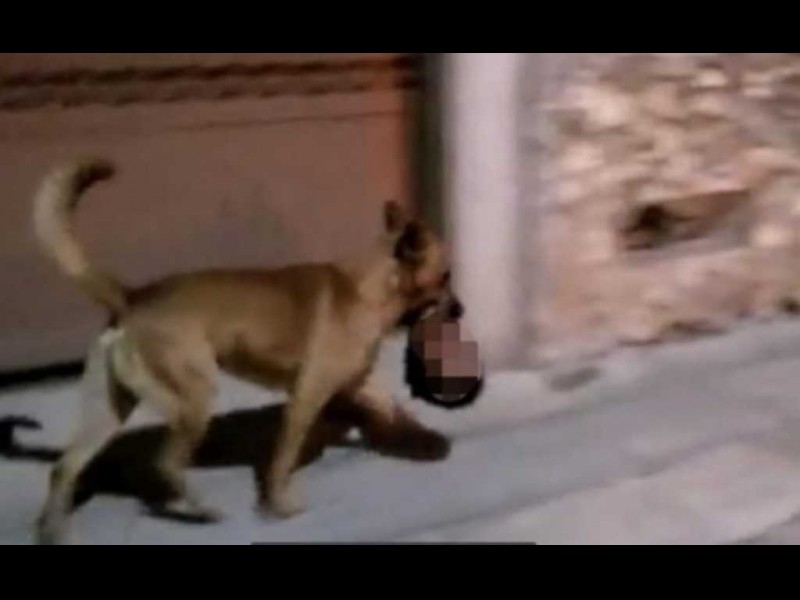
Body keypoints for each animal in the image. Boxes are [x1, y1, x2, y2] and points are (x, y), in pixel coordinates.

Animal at [32, 159, 459, 544]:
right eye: (446, 277)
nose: (460, 309)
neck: (364, 288)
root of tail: (131, 296)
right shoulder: (306, 396)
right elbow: (283, 458)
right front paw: (278, 504)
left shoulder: (358, 385)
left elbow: (395, 408)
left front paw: (422, 437)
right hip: (193, 398)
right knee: (166, 462)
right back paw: (198, 508)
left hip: (109, 408)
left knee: (64, 468)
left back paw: (55, 531)